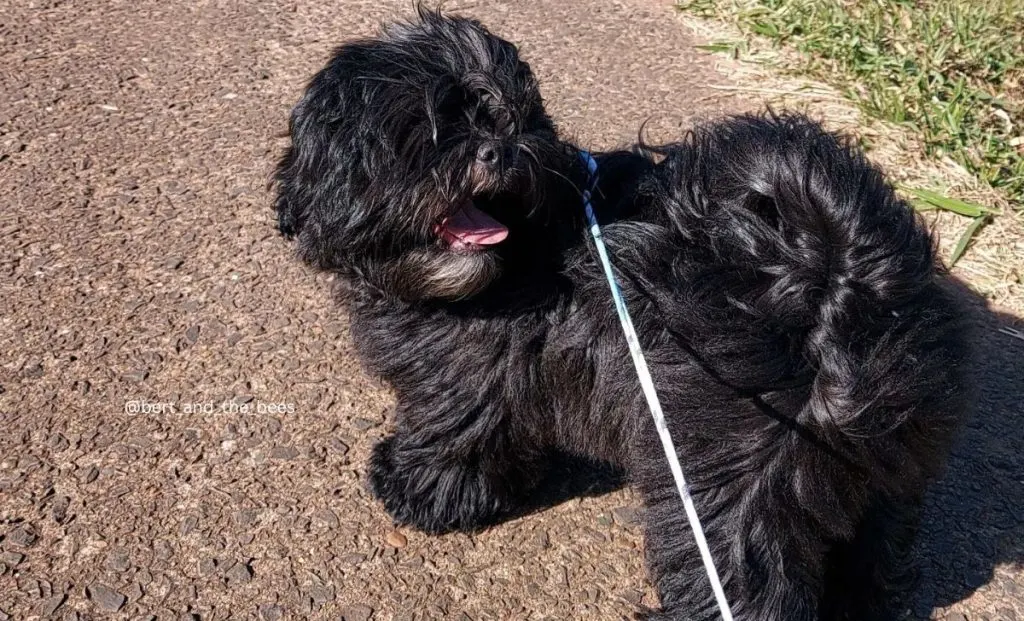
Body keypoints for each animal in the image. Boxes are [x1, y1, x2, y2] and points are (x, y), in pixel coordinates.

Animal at [276, 8, 970, 618]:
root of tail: (837, 279)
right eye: (433, 124)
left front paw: (413, 492)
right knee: (872, 548)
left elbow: (453, 442)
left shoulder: (464, 385)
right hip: (885, 472)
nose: (501, 149)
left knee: (750, 580)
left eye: (510, 120)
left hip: (732, 478)